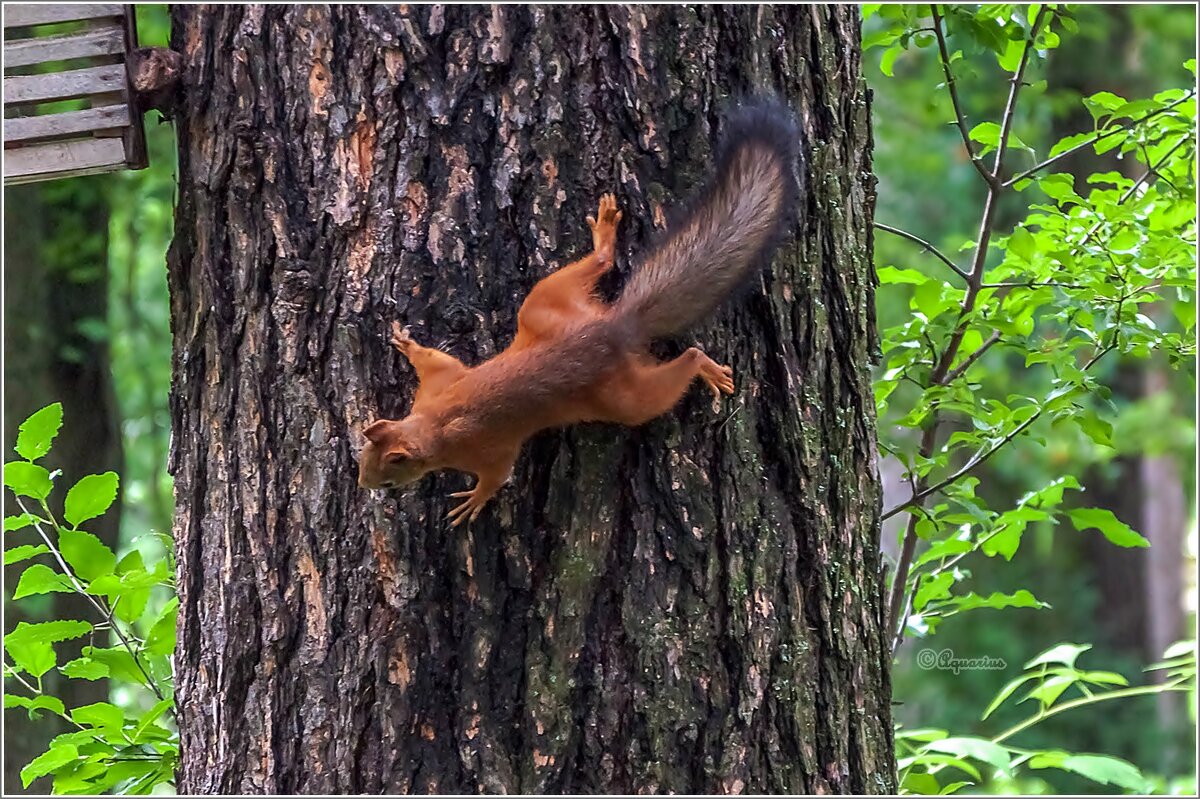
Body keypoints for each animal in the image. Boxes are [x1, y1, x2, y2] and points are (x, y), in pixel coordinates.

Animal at [360, 97, 801, 523]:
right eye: (364, 456)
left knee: (673, 372)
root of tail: (614, 331)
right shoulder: (440, 384)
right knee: (600, 264)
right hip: (545, 304)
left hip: (623, 398)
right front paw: (407, 344)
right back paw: (604, 234)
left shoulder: (487, 448)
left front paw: (475, 500)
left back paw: (704, 366)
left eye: (388, 479)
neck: (433, 424)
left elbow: (497, 475)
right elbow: (437, 362)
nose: (365, 485)